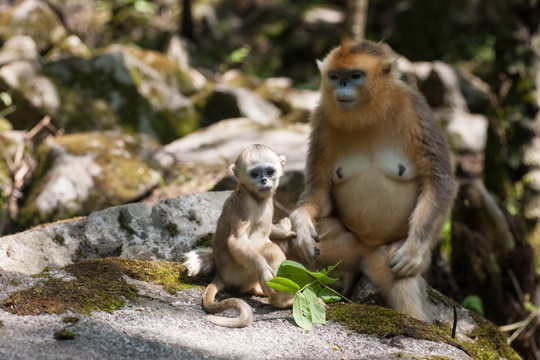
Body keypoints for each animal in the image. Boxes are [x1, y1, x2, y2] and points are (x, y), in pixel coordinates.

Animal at [202, 143, 296, 326]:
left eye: (270, 172)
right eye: (255, 174)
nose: (264, 180)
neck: (257, 198)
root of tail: (221, 275)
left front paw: (286, 231)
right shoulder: (244, 205)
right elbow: (237, 241)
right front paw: (264, 272)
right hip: (240, 274)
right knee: (271, 250)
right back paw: (282, 302)